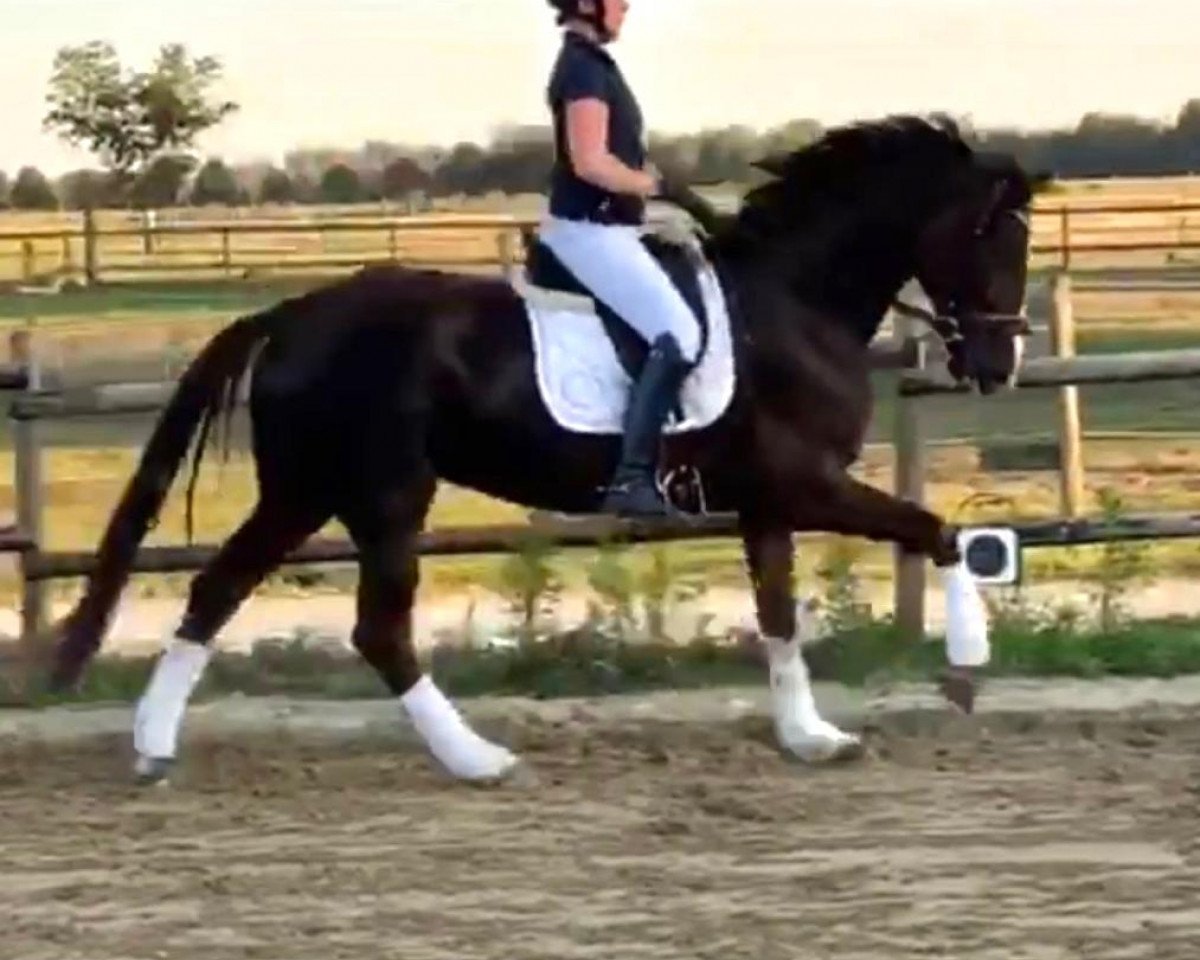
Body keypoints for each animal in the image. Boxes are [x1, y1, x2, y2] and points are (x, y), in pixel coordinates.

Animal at [45, 115, 1042, 784]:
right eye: (991, 233)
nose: (999, 363)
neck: (795, 303)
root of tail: (288, 314)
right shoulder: (809, 484)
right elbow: (939, 532)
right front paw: (965, 669)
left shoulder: (768, 501)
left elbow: (779, 616)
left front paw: (808, 737)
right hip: (384, 495)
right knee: (378, 628)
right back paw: (477, 759)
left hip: (304, 491)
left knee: (217, 591)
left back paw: (153, 747)